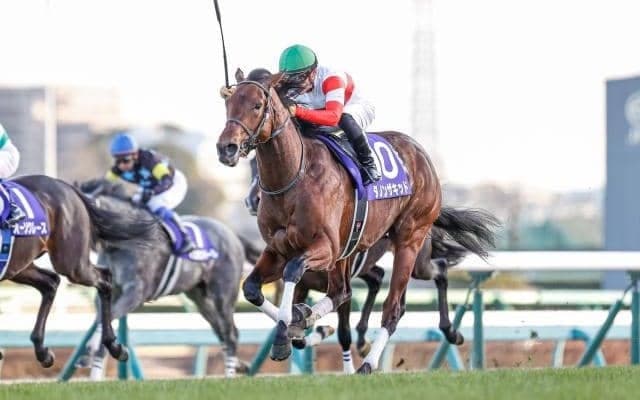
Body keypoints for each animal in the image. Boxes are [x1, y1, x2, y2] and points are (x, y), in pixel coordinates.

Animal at [0, 175, 155, 368]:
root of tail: (67, 187)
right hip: (18, 266)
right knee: (50, 282)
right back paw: (42, 351)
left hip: (72, 263)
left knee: (103, 278)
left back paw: (114, 346)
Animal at [76, 179, 250, 378]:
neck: (125, 239)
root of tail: (233, 235)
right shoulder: (111, 290)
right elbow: (101, 318)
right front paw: (90, 355)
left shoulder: (136, 293)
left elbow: (108, 316)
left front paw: (108, 350)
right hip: (201, 298)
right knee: (221, 332)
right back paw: (237, 366)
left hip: (223, 295)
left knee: (230, 334)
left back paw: (230, 374)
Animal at [217, 68, 475, 374]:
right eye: (228, 103)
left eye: (257, 106)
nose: (226, 148)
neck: (294, 177)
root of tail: (421, 153)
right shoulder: (278, 249)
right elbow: (252, 289)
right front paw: (297, 323)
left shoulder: (325, 248)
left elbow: (294, 272)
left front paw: (286, 335)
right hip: (353, 252)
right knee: (350, 290)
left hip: (411, 241)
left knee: (397, 303)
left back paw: (370, 364)